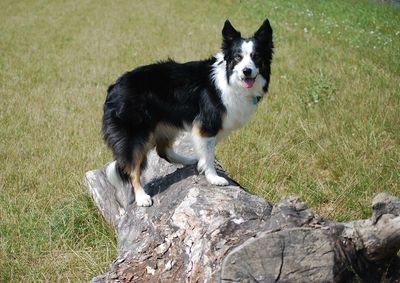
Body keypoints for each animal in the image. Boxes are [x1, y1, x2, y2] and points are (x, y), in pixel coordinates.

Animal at [101, 18, 274, 207]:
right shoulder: (207, 123)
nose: (247, 71)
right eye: (238, 57)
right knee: (133, 167)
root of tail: (113, 87)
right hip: (136, 133)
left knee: (163, 150)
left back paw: (189, 160)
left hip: (165, 123)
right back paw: (141, 197)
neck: (230, 80)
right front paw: (214, 178)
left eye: (256, 56)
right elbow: (209, 152)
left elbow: (206, 150)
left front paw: (202, 166)